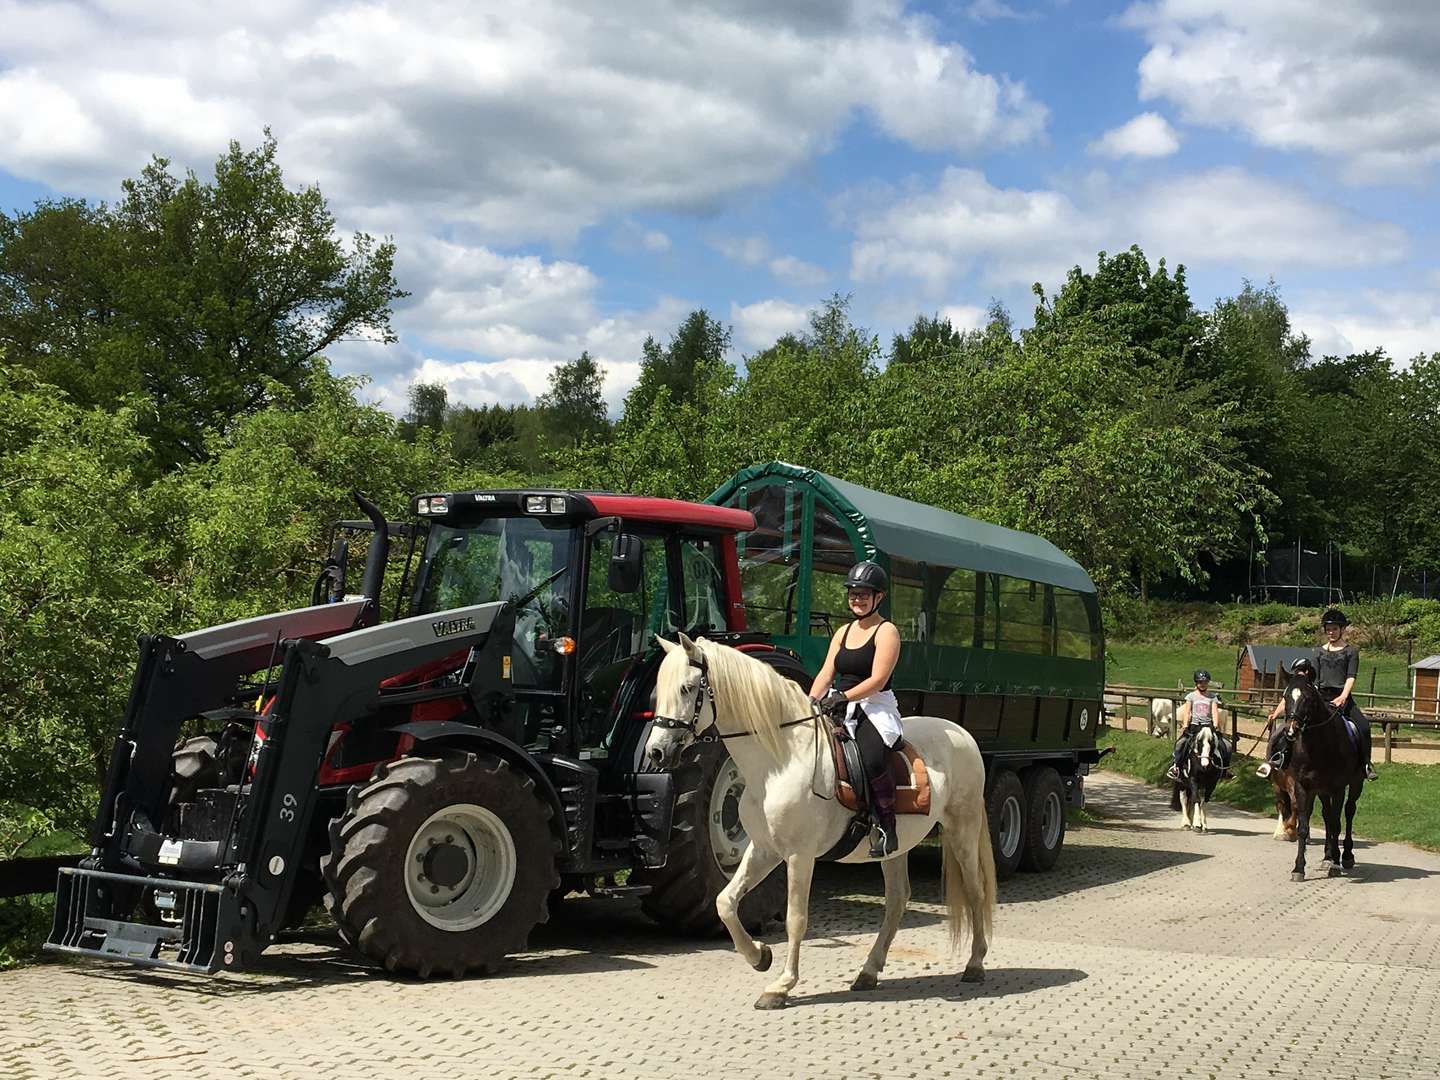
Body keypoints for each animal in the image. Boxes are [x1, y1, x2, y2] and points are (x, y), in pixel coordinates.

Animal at [648, 633, 996, 1013]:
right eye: (658, 690)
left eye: (687, 688)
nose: (655, 752)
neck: (781, 761)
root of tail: (961, 733)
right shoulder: (765, 850)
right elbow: (725, 902)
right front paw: (760, 957)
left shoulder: (799, 856)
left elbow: (795, 918)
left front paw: (781, 986)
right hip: (895, 847)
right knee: (897, 901)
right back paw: (868, 973)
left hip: (962, 829)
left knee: (975, 892)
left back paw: (975, 965)